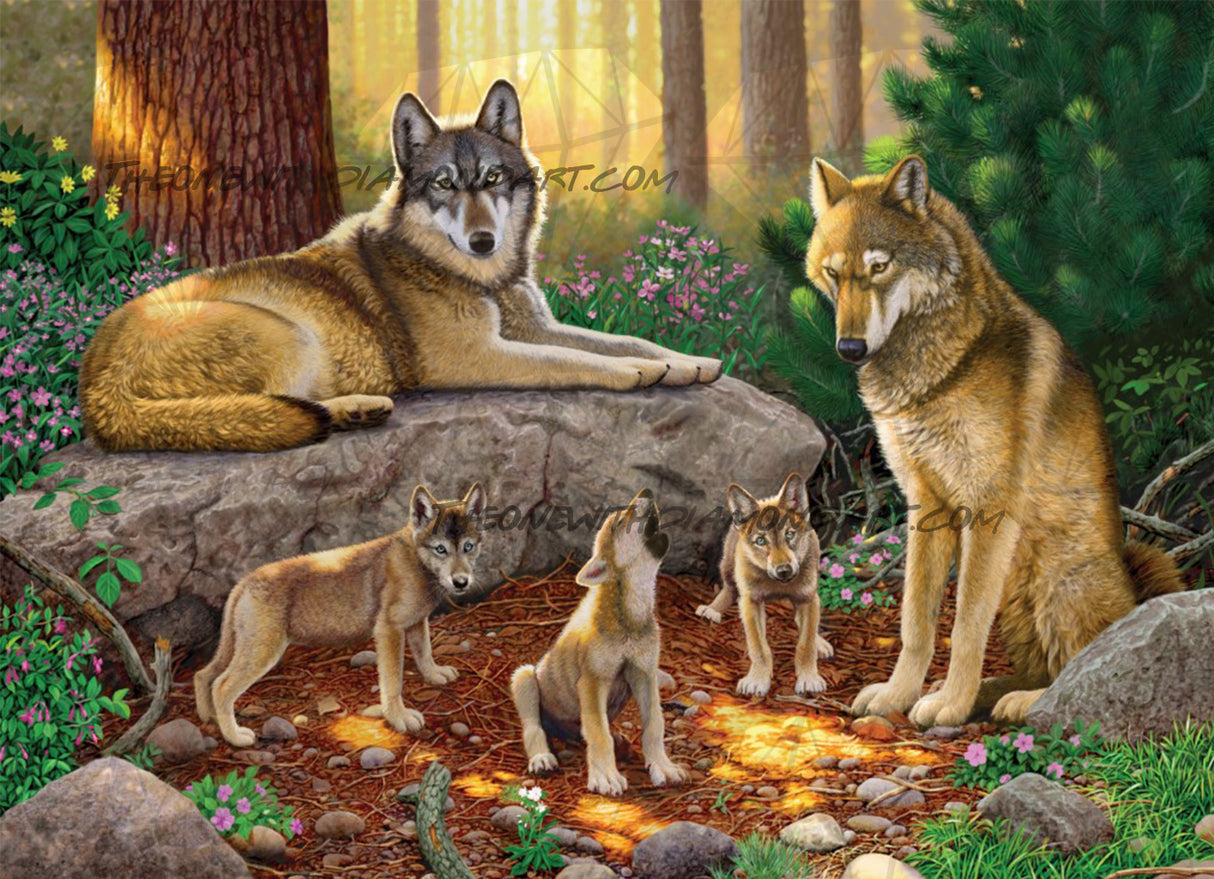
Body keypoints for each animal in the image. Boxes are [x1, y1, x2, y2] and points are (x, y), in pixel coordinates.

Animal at [79, 79, 721, 453]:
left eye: (492, 178)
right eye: (444, 184)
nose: (483, 241)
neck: (481, 281)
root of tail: (92, 386)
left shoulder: (536, 327)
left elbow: (623, 339)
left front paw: (685, 363)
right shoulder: (475, 357)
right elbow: (576, 361)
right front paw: (637, 374)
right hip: (287, 335)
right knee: (265, 412)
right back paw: (352, 409)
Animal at [194, 482, 485, 747]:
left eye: (468, 547)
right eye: (441, 549)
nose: (461, 582)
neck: (415, 560)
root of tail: (244, 582)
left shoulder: (415, 622)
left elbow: (425, 653)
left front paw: (435, 675)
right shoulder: (388, 630)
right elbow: (393, 682)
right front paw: (399, 717)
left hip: (239, 648)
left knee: (203, 675)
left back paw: (210, 720)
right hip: (262, 651)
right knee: (221, 686)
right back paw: (235, 737)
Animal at [510, 488, 688, 797]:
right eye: (618, 523)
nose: (646, 491)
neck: (630, 618)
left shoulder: (644, 674)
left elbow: (654, 724)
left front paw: (662, 766)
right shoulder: (593, 682)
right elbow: (598, 732)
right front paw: (605, 777)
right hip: (524, 678)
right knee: (534, 727)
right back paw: (542, 758)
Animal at [695, 473, 833, 698]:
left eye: (789, 534)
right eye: (761, 541)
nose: (784, 570)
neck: (778, 585)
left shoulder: (806, 598)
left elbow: (806, 644)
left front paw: (809, 678)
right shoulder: (751, 602)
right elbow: (759, 648)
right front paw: (757, 681)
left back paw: (821, 642)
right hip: (728, 567)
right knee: (728, 589)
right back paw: (712, 610)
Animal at [805, 155, 1183, 727]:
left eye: (879, 267)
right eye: (833, 272)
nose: (850, 348)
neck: (937, 369)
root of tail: (1134, 597)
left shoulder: (988, 510)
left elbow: (963, 627)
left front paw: (949, 706)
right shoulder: (928, 507)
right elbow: (916, 622)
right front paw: (899, 696)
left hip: (1055, 580)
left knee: (1076, 671)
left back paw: (1017, 702)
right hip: (1016, 596)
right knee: (1037, 667)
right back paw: (990, 694)